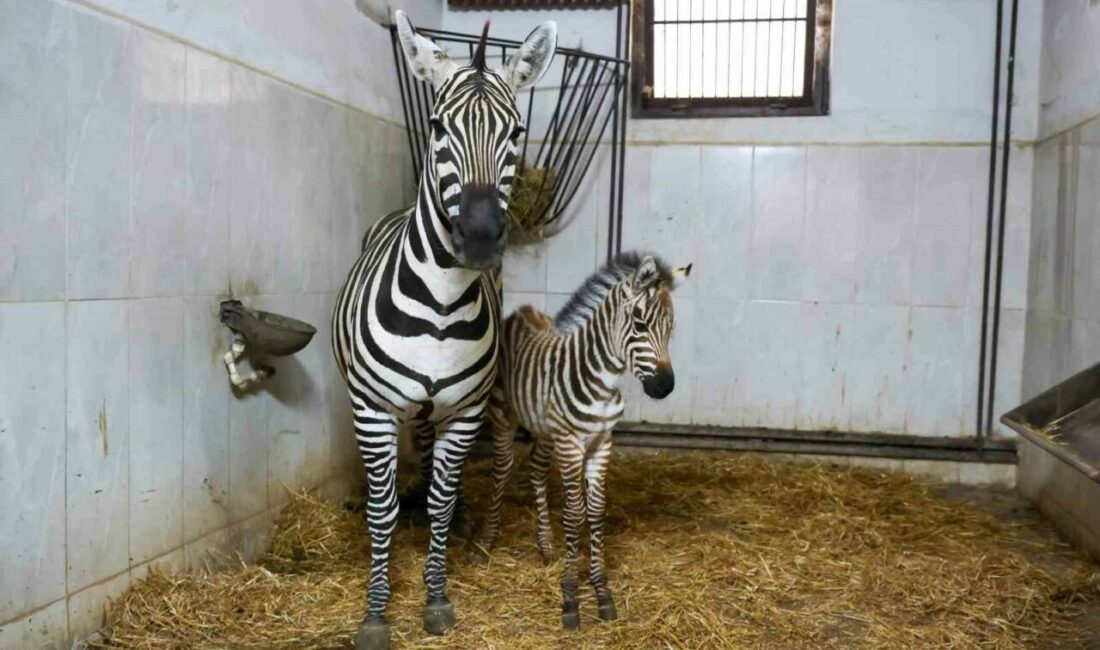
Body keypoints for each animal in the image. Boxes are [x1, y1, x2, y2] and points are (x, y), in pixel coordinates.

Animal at [331, 12, 557, 649]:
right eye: (436, 126)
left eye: (516, 130)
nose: (479, 237)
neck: (439, 306)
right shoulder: (373, 409)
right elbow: (380, 510)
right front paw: (376, 613)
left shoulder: (465, 411)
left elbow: (441, 495)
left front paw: (435, 597)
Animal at [477, 252, 691, 629]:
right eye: (640, 325)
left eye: (671, 329)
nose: (664, 387)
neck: (602, 382)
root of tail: (522, 312)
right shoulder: (571, 444)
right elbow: (575, 513)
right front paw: (570, 595)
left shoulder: (601, 442)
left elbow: (595, 510)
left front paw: (601, 590)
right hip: (504, 415)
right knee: (502, 469)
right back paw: (489, 540)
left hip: (546, 430)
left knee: (535, 470)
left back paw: (545, 545)